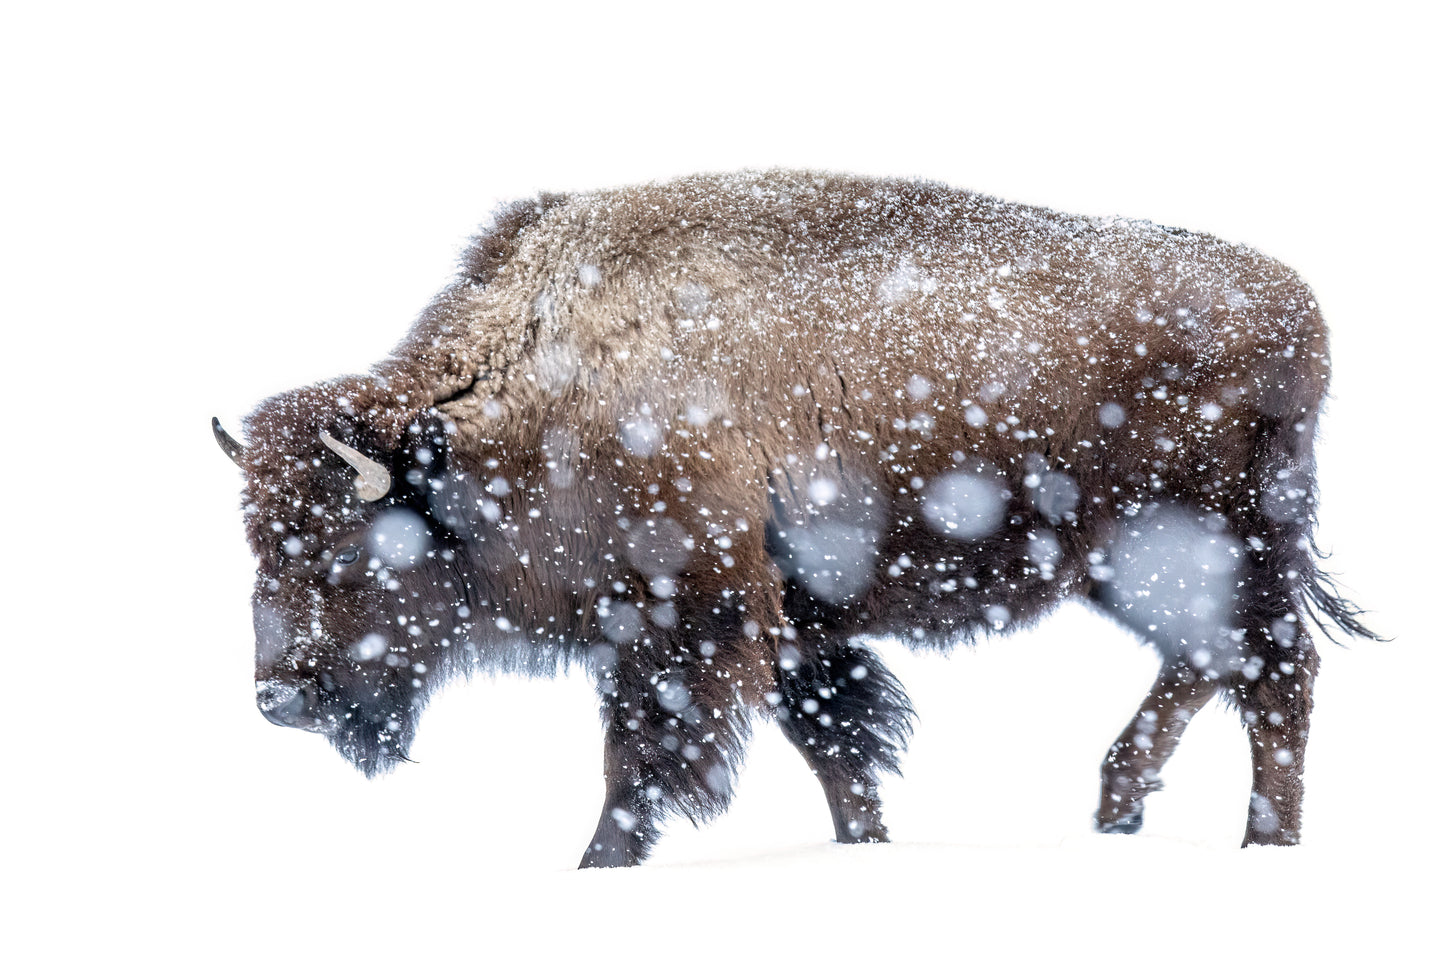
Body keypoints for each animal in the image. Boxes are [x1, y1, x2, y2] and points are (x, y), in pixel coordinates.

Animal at [215, 169, 1373, 867]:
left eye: (342, 551)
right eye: (258, 547)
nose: (276, 699)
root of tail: (1296, 300)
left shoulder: (688, 619)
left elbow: (642, 762)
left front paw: (596, 865)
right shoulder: (793, 625)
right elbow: (836, 745)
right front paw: (866, 845)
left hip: (1201, 542)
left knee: (1271, 669)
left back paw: (1259, 844)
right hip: (1131, 564)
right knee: (1215, 662)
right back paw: (1116, 806)